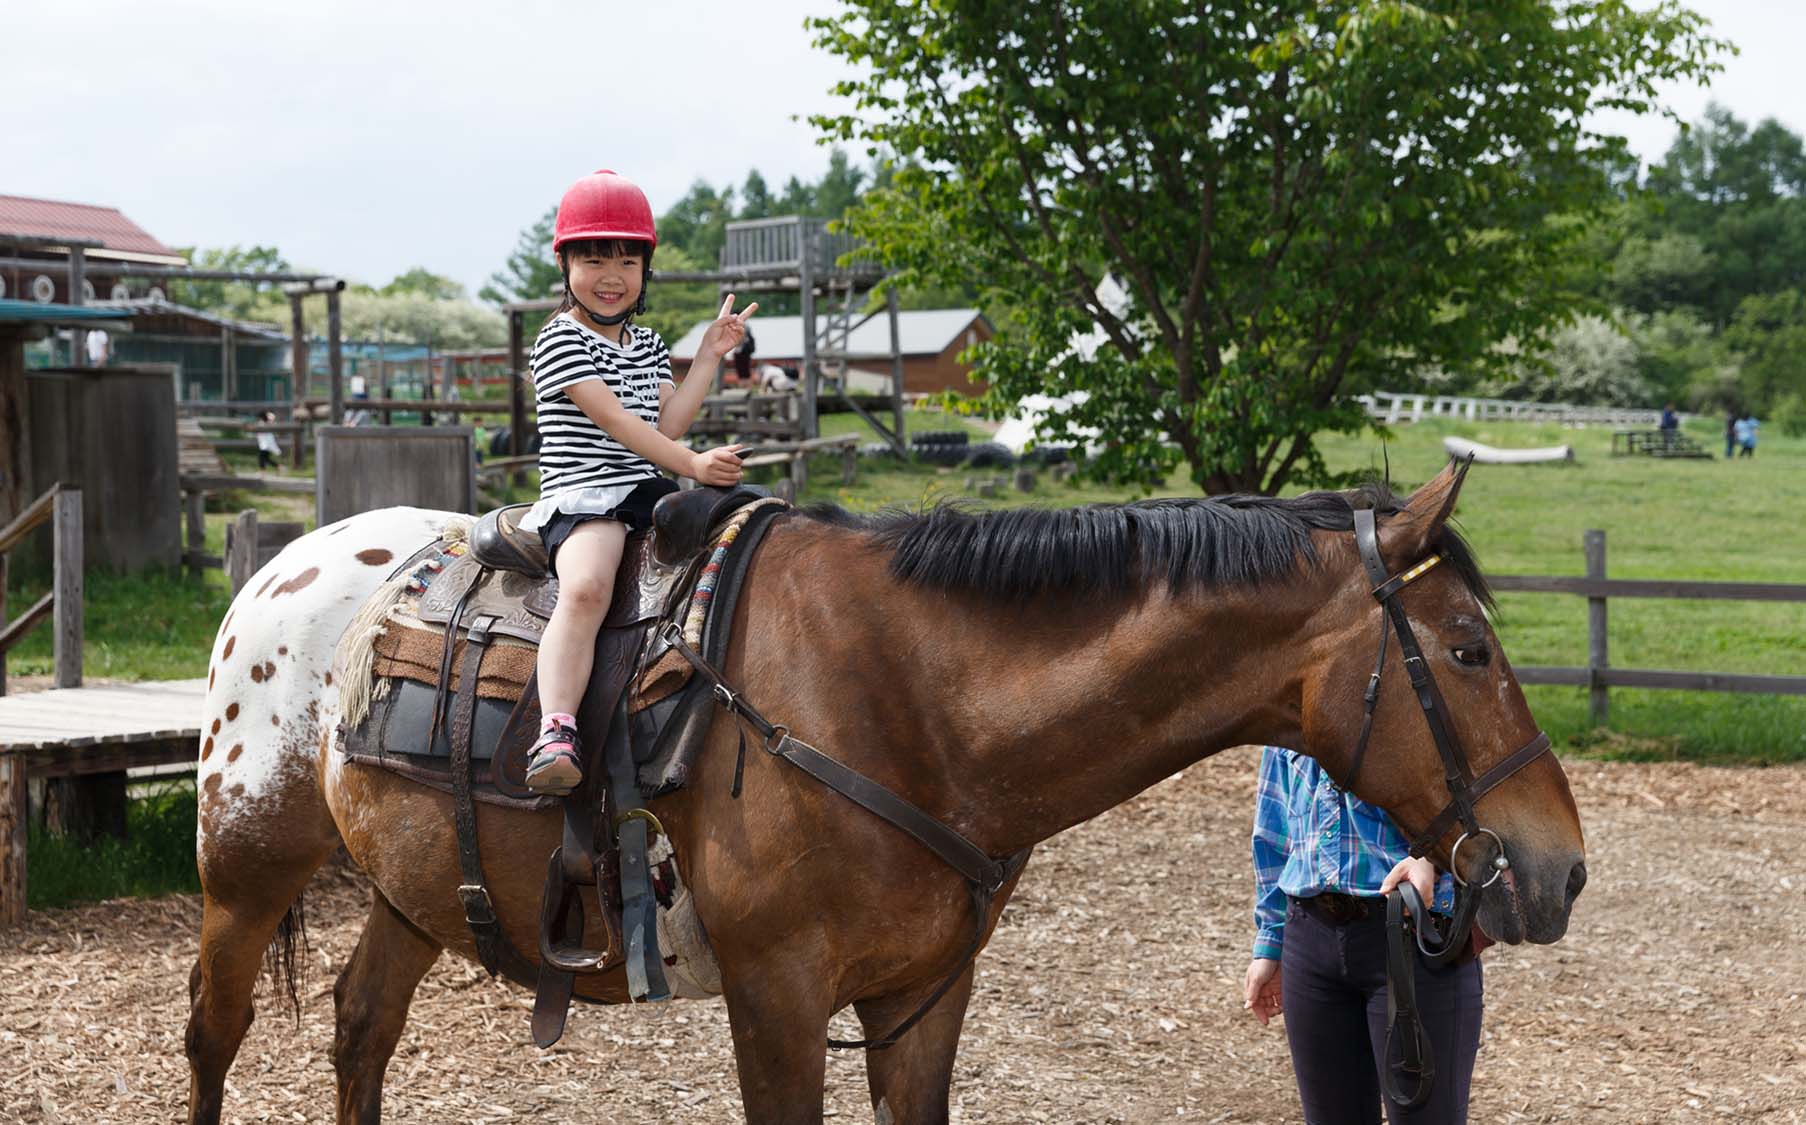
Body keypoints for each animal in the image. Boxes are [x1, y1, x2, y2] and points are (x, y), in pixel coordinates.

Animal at [183, 460, 1582, 1125]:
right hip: (244, 869)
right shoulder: (780, 1001)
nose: (1559, 865)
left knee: (362, 1031)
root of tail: (286, 566)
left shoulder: (922, 997)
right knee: (214, 1037)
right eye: (1471, 649)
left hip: (411, 893)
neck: (906, 697)